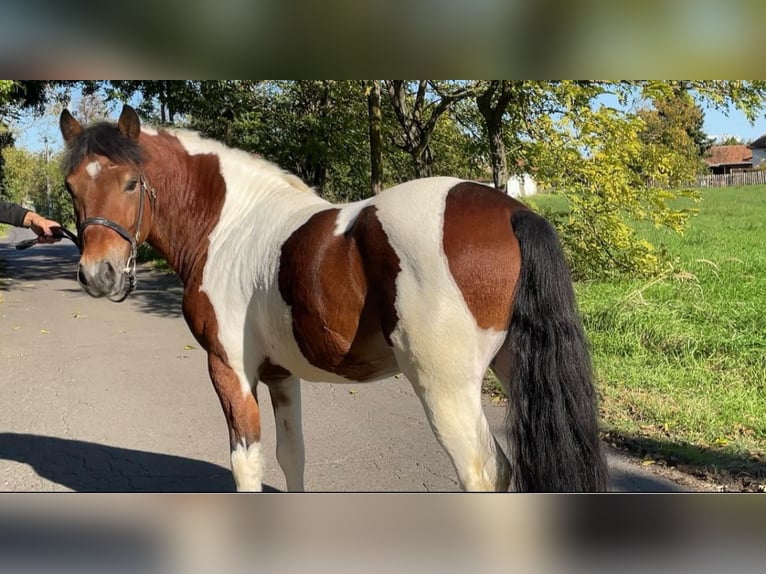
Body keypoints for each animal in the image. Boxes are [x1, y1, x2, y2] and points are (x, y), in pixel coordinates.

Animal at [58, 106, 612, 492]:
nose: (99, 275)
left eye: (132, 182)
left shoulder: (230, 370)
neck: (229, 226)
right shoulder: (281, 375)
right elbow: (292, 456)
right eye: (70, 187)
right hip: (512, 369)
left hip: (445, 388)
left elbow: (246, 464)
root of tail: (513, 211)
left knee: (484, 473)